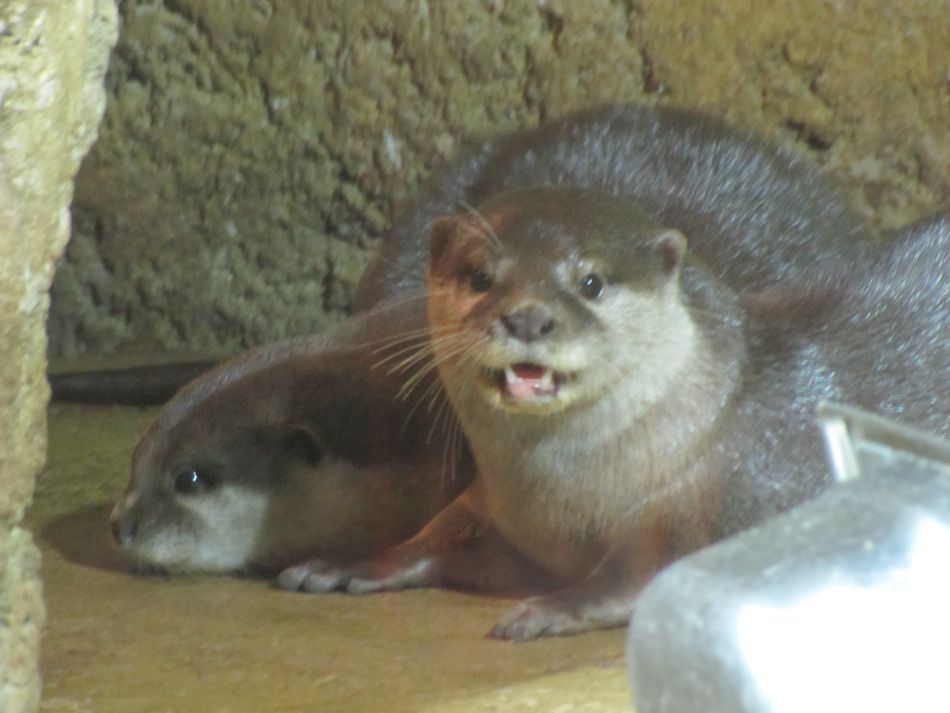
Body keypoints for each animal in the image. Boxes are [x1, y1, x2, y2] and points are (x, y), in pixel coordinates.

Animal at [277, 190, 948, 641]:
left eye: (592, 282)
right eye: (480, 276)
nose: (528, 316)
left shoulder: (687, 513)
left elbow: (630, 578)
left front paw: (546, 608)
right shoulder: (500, 511)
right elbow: (439, 532)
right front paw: (346, 563)